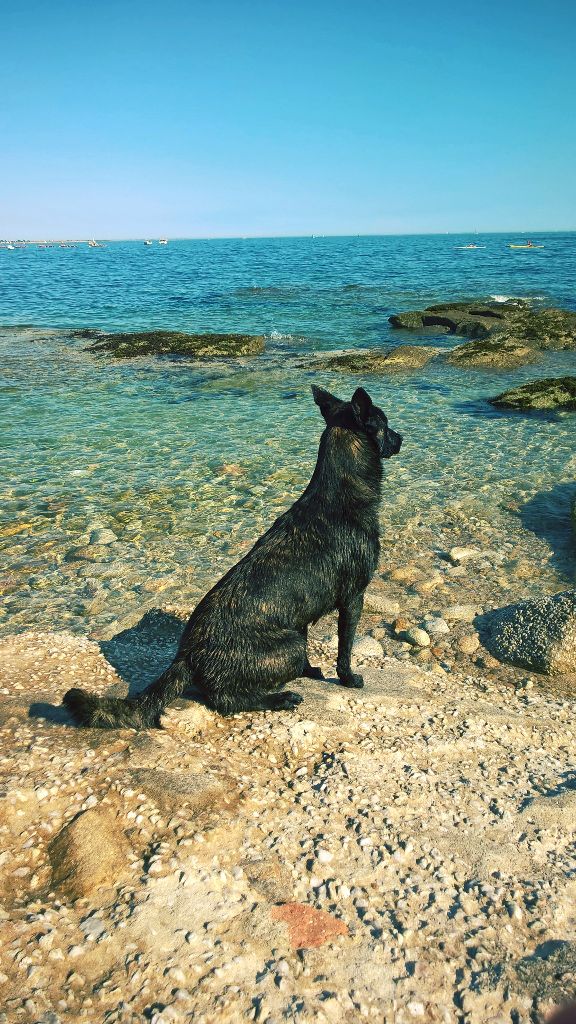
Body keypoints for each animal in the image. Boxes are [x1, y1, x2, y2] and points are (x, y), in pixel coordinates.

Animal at [63, 385, 399, 729]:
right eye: (386, 424)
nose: (400, 439)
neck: (339, 493)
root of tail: (187, 656)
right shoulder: (353, 598)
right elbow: (345, 649)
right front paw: (348, 679)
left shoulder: (299, 617)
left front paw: (311, 672)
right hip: (290, 645)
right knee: (226, 700)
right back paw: (279, 698)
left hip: (291, 638)